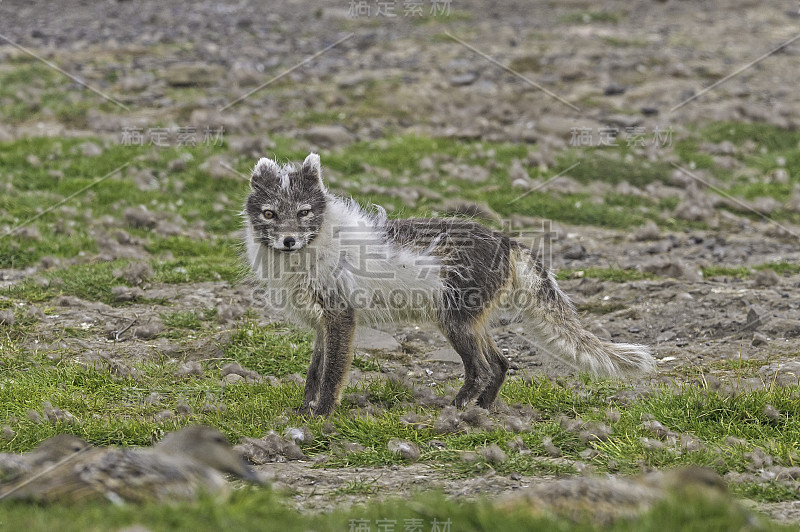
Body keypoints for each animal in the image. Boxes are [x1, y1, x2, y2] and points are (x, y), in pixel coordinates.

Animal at [242, 153, 648, 416]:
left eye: (304, 212)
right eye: (269, 214)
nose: (289, 241)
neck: (314, 248)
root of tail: (507, 241)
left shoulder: (341, 315)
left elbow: (332, 373)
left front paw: (321, 413)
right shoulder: (321, 323)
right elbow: (314, 370)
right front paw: (303, 408)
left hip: (454, 320)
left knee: (483, 368)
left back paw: (457, 408)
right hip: (471, 320)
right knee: (502, 363)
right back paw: (482, 410)